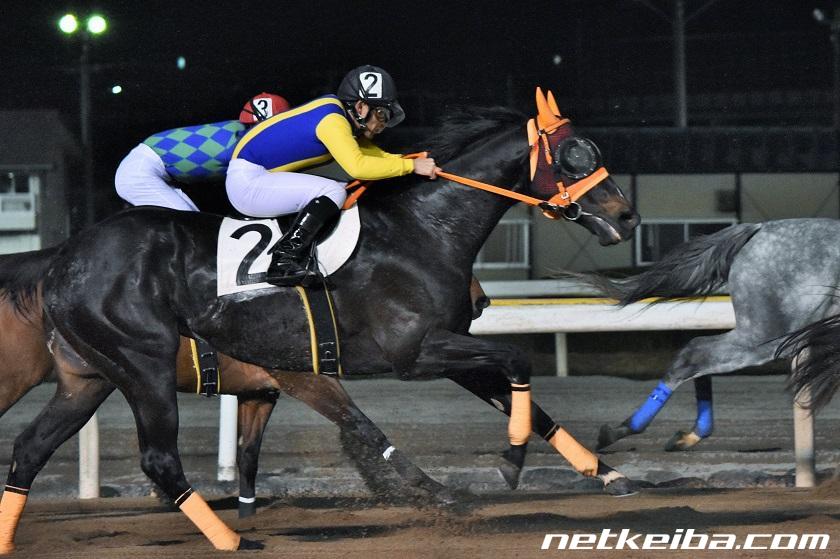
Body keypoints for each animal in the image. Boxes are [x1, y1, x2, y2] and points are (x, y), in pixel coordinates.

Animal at [0, 91, 639, 551]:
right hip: (143, 365)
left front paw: (606, 473)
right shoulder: (409, 354)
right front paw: (501, 467)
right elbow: (514, 360)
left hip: (89, 377)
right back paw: (232, 540)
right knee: (158, 459)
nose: (627, 216)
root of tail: (64, 258)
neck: (424, 231)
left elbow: (525, 400)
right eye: (574, 154)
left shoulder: (442, 348)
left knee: (29, 450)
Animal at [575, 218, 840, 452]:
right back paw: (620, 431)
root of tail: (757, 228)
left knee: (698, 355)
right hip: (766, 335)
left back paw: (687, 436)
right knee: (695, 353)